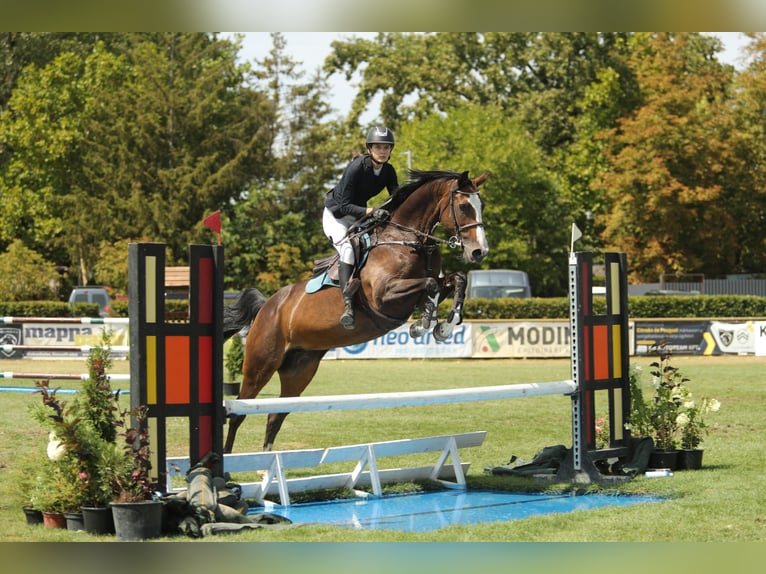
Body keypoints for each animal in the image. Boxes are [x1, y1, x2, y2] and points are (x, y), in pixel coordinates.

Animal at [222, 169, 490, 452]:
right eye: (463, 206)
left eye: (481, 205)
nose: (479, 252)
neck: (404, 240)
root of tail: (267, 307)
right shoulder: (385, 296)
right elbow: (430, 285)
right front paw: (423, 324)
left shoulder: (417, 292)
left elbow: (456, 279)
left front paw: (443, 326)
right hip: (260, 365)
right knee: (238, 413)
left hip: (299, 369)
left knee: (275, 416)